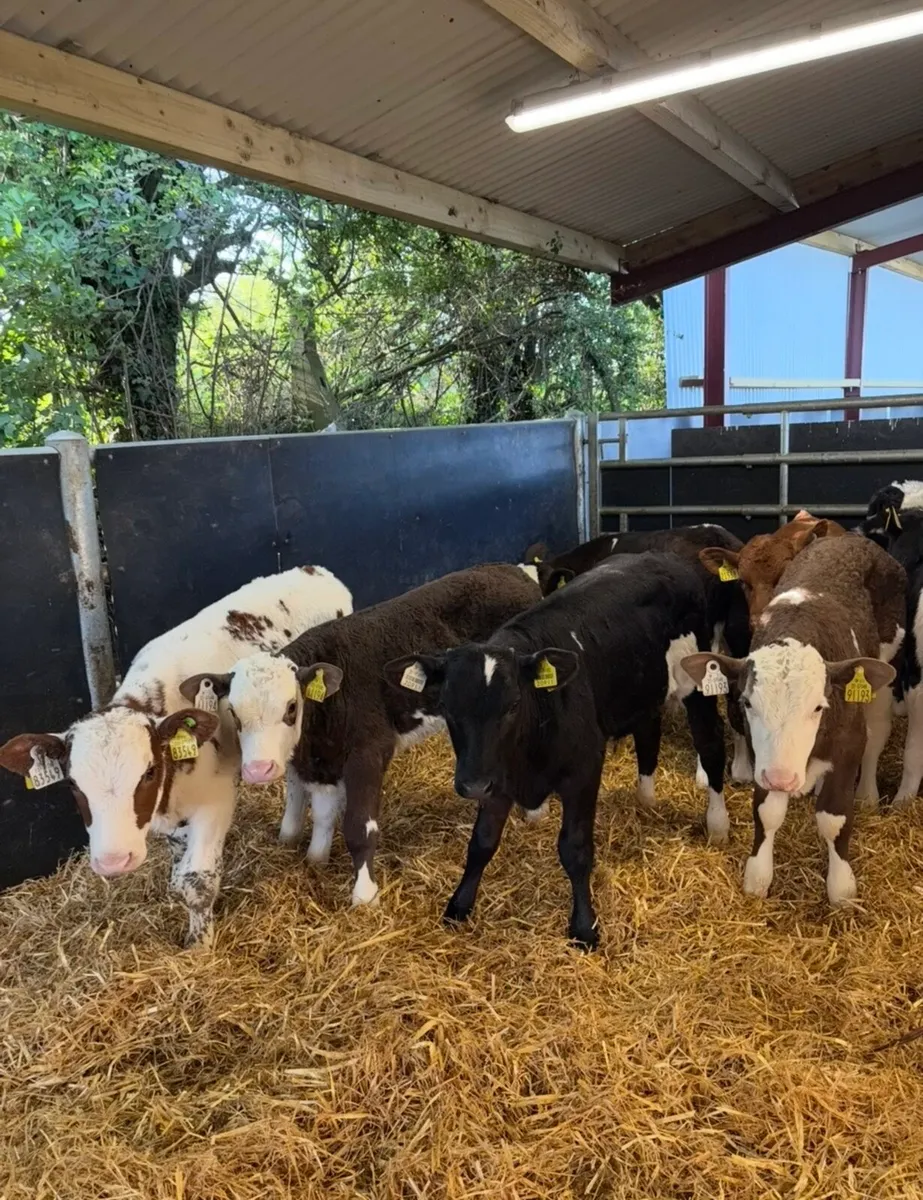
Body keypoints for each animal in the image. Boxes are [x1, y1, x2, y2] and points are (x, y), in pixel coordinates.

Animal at [0, 565, 352, 947]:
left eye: (148, 772)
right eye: (74, 786)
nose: (114, 861)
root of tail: (314, 570)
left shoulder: (215, 800)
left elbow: (197, 879)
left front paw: (200, 943)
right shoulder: (168, 818)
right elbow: (179, 875)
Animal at [180, 564, 541, 910]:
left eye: (291, 708)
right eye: (234, 713)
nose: (258, 770)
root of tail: (513, 570)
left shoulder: (368, 752)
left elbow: (359, 828)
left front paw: (365, 896)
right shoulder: (320, 761)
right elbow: (318, 812)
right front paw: (315, 858)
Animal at [384, 551, 731, 948]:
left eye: (513, 705)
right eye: (447, 707)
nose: (470, 785)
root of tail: (662, 556)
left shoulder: (583, 770)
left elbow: (574, 849)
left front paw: (583, 926)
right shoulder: (495, 776)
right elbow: (482, 842)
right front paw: (459, 905)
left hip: (698, 683)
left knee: (710, 743)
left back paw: (717, 824)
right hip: (643, 689)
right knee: (648, 732)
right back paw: (645, 800)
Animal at [682, 534, 905, 904]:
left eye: (818, 707)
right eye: (747, 703)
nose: (782, 778)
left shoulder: (847, 745)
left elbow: (834, 817)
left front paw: (841, 887)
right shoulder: (762, 757)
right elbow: (767, 812)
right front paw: (758, 876)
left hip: (887, 661)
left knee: (878, 732)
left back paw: (868, 793)